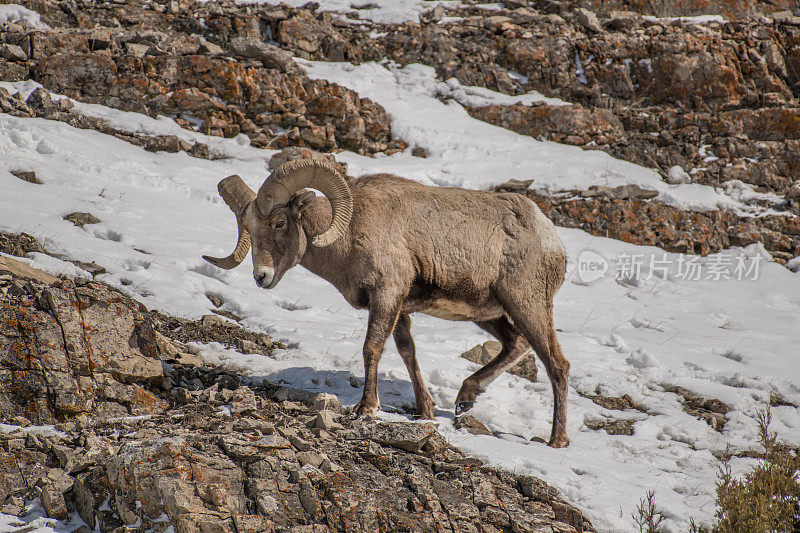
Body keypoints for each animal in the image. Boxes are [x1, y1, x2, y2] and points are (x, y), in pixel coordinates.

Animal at [203, 160, 572, 446]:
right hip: (489, 314)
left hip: (527, 306)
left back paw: (556, 441)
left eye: (280, 223)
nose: (261, 276)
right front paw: (424, 410)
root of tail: (550, 238)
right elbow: (407, 352)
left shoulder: (386, 295)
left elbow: (372, 348)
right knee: (516, 344)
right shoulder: (400, 309)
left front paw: (366, 408)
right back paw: (465, 400)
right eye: (250, 229)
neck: (350, 234)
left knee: (557, 364)